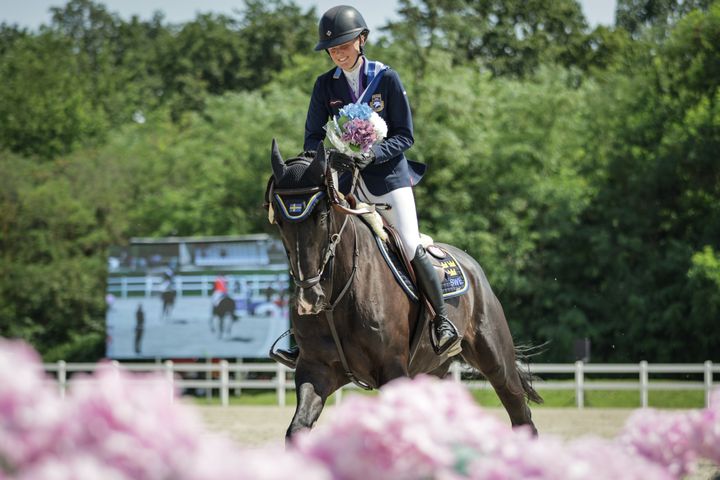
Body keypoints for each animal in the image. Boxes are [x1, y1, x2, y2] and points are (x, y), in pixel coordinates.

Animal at [266, 140, 540, 442]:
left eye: (322, 215)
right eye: (279, 221)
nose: (309, 299)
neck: (337, 295)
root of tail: (472, 265)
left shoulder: (393, 370)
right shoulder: (316, 369)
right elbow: (298, 429)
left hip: (495, 359)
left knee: (520, 414)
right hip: (430, 369)